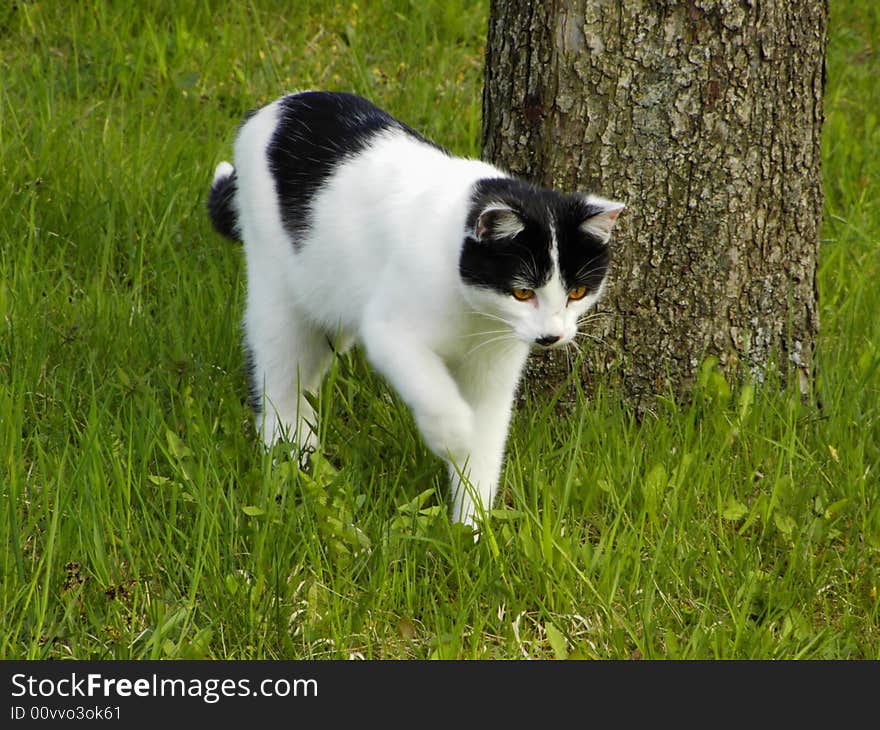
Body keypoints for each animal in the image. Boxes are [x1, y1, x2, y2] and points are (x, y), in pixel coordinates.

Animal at [207, 91, 624, 528]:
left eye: (577, 292)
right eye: (523, 293)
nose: (551, 336)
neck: (476, 314)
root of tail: (271, 109)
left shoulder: (494, 369)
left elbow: (487, 446)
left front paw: (472, 527)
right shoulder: (389, 331)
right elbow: (432, 387)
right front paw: (455, 436)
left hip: (327, 300)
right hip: (276, 289)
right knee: (276, 376)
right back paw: (288, 454)